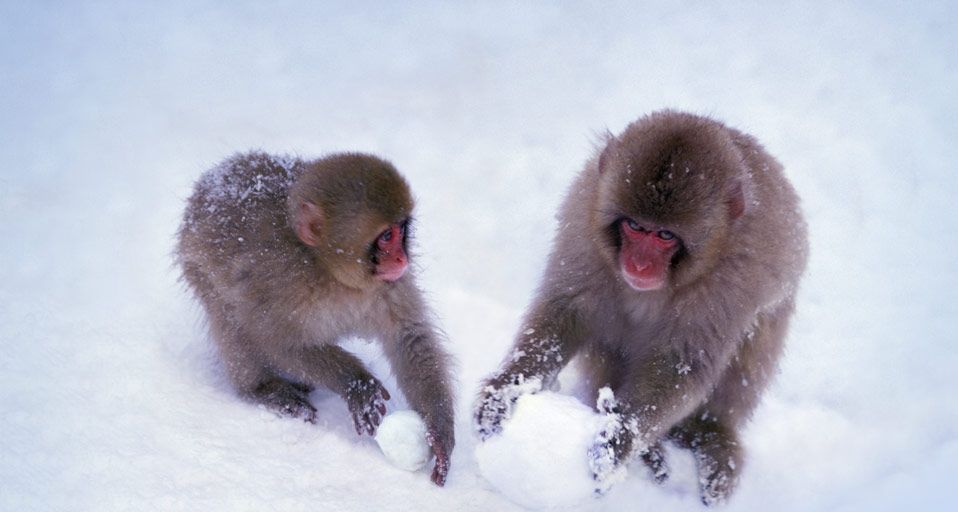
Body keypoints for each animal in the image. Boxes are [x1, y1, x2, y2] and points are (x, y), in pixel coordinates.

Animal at [176, 151, 455, 486]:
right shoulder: (280, 284)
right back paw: (262, 389)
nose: (403, 258)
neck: (331, 274)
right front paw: (355, 382)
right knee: (230, 319)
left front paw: (440, 432)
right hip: (196, 264)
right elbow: (275, 342)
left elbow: (409, 338)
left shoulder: (389, 286)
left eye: (402, 230)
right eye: (386, 236)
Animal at [474, 110, 807, 505]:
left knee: (753, 348)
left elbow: (681, 361)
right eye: (635, 226)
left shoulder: (732, 277)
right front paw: (507, 387)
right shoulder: (584, 226)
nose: (639, 265)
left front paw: (620, 437)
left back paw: (711, 435)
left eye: (664, 235)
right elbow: (567, 311)